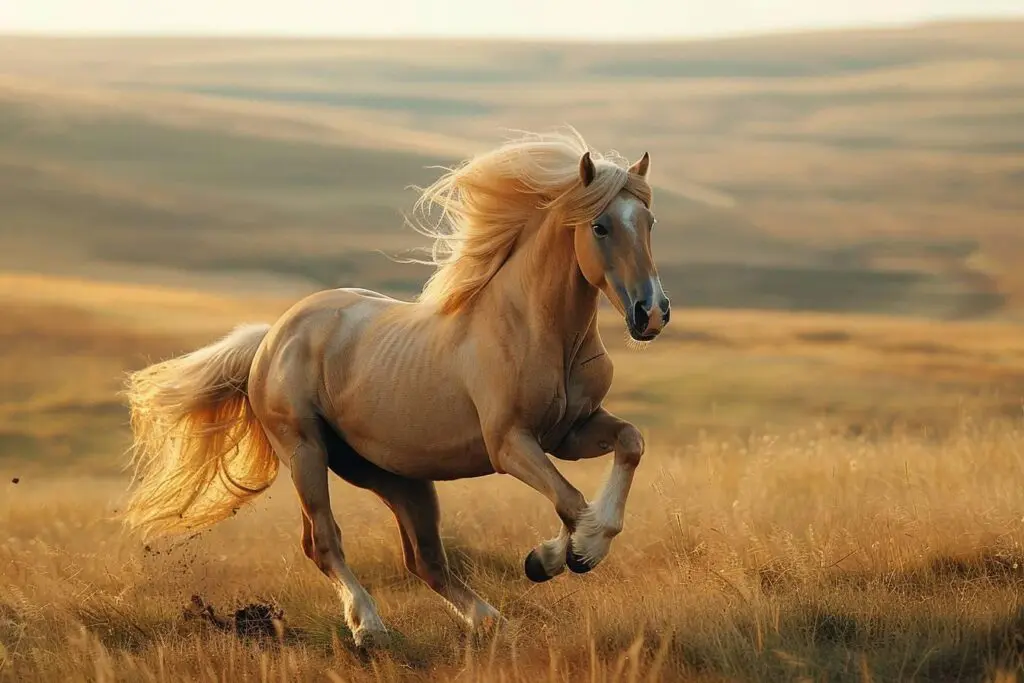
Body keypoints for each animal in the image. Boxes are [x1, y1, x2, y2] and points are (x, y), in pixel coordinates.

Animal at [121, 127, 671, 647]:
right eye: (600, 226)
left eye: (649, 223)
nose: (651, 313)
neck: (536, 328)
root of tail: (272, 337)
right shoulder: (509, 444)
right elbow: (571, 501)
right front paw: (571, 554)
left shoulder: (570, 433)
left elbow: (627, 448)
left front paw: (552, 557)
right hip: (305, 451)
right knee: (323, 541)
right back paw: (370, 628)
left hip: (395, 476)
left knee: (424, 559)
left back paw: (495, 626)